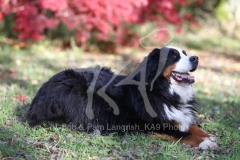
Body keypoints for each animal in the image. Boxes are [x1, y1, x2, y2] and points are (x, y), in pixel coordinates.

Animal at [25, 46, 218, 150]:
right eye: (175, 56)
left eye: (185, 53)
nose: (196, 58)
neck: (163, 90)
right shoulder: (152, 124)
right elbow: (183, 134)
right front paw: (205, 143)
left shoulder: (178, 116)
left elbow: (193, 126)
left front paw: (210, 137)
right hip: (77, 89)